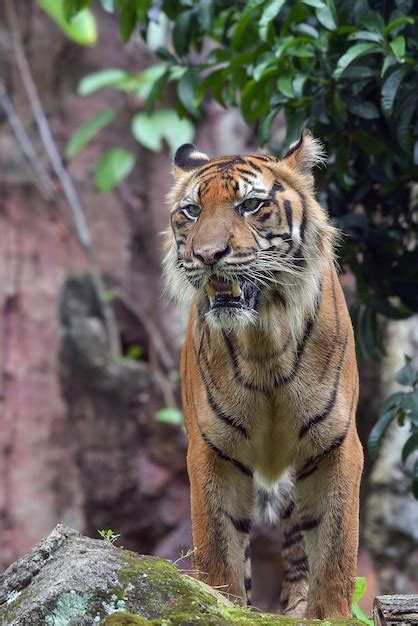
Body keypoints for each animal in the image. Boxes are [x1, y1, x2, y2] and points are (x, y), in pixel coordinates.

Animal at [162, 129, 362, 616]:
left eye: (250, 205)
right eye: (191, 211)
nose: (208, 255)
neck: (263, 341)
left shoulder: (336, 444)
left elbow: (335, 550)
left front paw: (328, 616)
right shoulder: (211, 449)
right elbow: (219, 552)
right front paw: (219, 606)